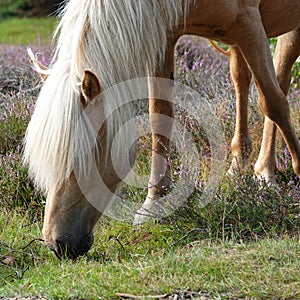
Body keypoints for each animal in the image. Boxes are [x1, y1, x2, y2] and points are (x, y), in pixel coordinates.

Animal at [24, 0, 300, 258]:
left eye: (86, 156)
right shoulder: (164, 36)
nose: (57, 244)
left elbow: (272, 102)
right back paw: (241, 166)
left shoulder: (248, 24)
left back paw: (265, 173)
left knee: (278, 80)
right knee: (243, 78)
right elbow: (160, 113)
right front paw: (154, 203)